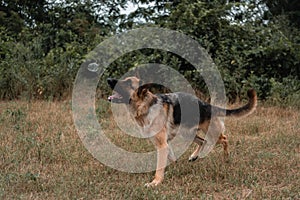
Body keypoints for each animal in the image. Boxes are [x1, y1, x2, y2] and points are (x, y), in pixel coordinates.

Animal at [106, 76, 256, 186]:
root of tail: (207, 105)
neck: (145, 105)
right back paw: (194, 156)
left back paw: (226, 159)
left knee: (224, 139)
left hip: (211, 133)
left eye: (127, 82)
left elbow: (160, 166)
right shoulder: (164, 144)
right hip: (187, 133)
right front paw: (172, 171)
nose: (108, 79)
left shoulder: (162, 145)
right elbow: (170, 158)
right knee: (203, 141)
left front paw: (156, 182)